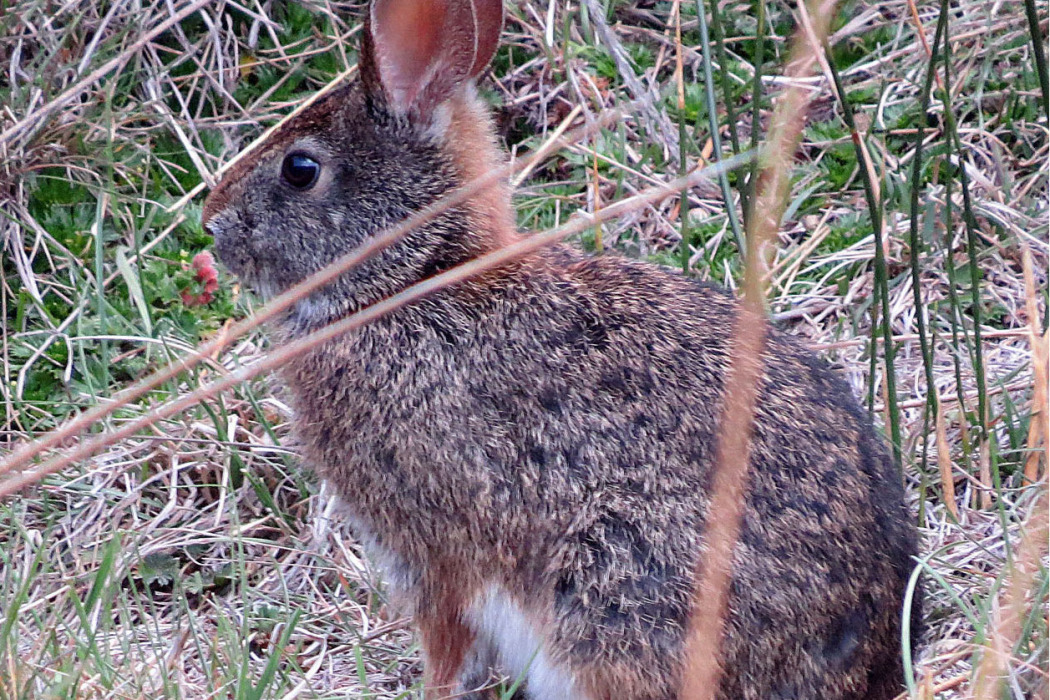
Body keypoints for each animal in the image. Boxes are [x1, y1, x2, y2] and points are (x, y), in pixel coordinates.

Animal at [200, 1, 923, 700]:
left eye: (301, 169)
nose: (210, 225)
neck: (413, 277)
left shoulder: (434, 550)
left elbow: (448, 644)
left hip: (616, 580)